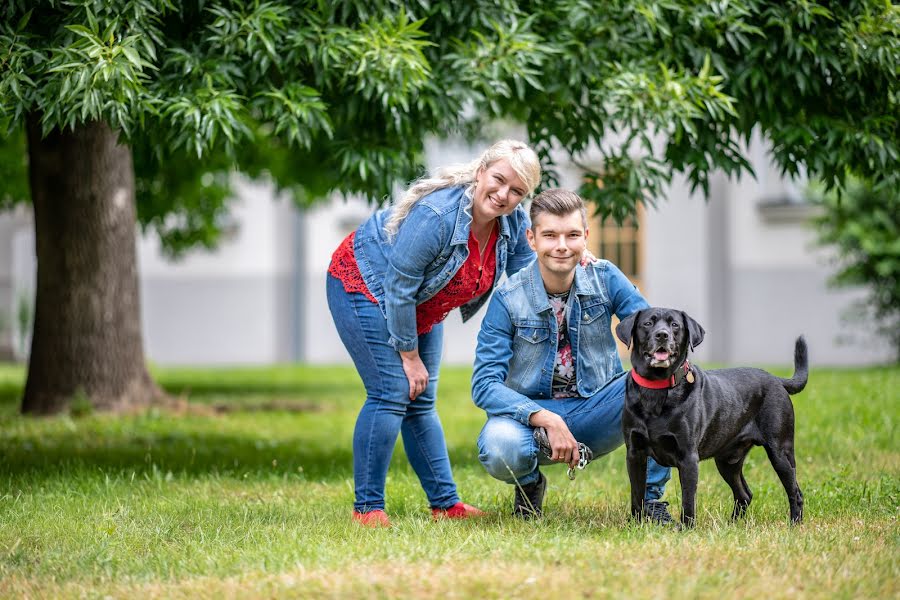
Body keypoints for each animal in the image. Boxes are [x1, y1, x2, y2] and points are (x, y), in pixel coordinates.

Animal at [620, 310, 808, 524]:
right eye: (648, 323)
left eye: (675, 325)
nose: (662, 335)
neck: (657, 389)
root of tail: (776, 379)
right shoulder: (635, 454)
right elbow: (637, 496)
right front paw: (635, 525)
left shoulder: (688, 458)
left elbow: (688, 501)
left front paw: (686, 529)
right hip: (727, 460)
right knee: (744, 494)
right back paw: (732, 525)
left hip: (780, 452)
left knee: (795, 492)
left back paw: (794, 525)